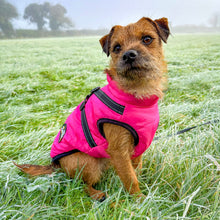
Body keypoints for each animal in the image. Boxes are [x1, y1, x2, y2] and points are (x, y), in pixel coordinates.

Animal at [14, 17, 170, 202]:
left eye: (147, 39)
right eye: (117, 48)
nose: (128, 55)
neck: (136, 95)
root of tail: (56, 165)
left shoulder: (136, 148)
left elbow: (135, 169)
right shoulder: (119, 150)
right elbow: (130, 178)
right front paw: (139, 200)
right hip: (89, 163)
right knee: (78, 184)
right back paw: (97, 194)